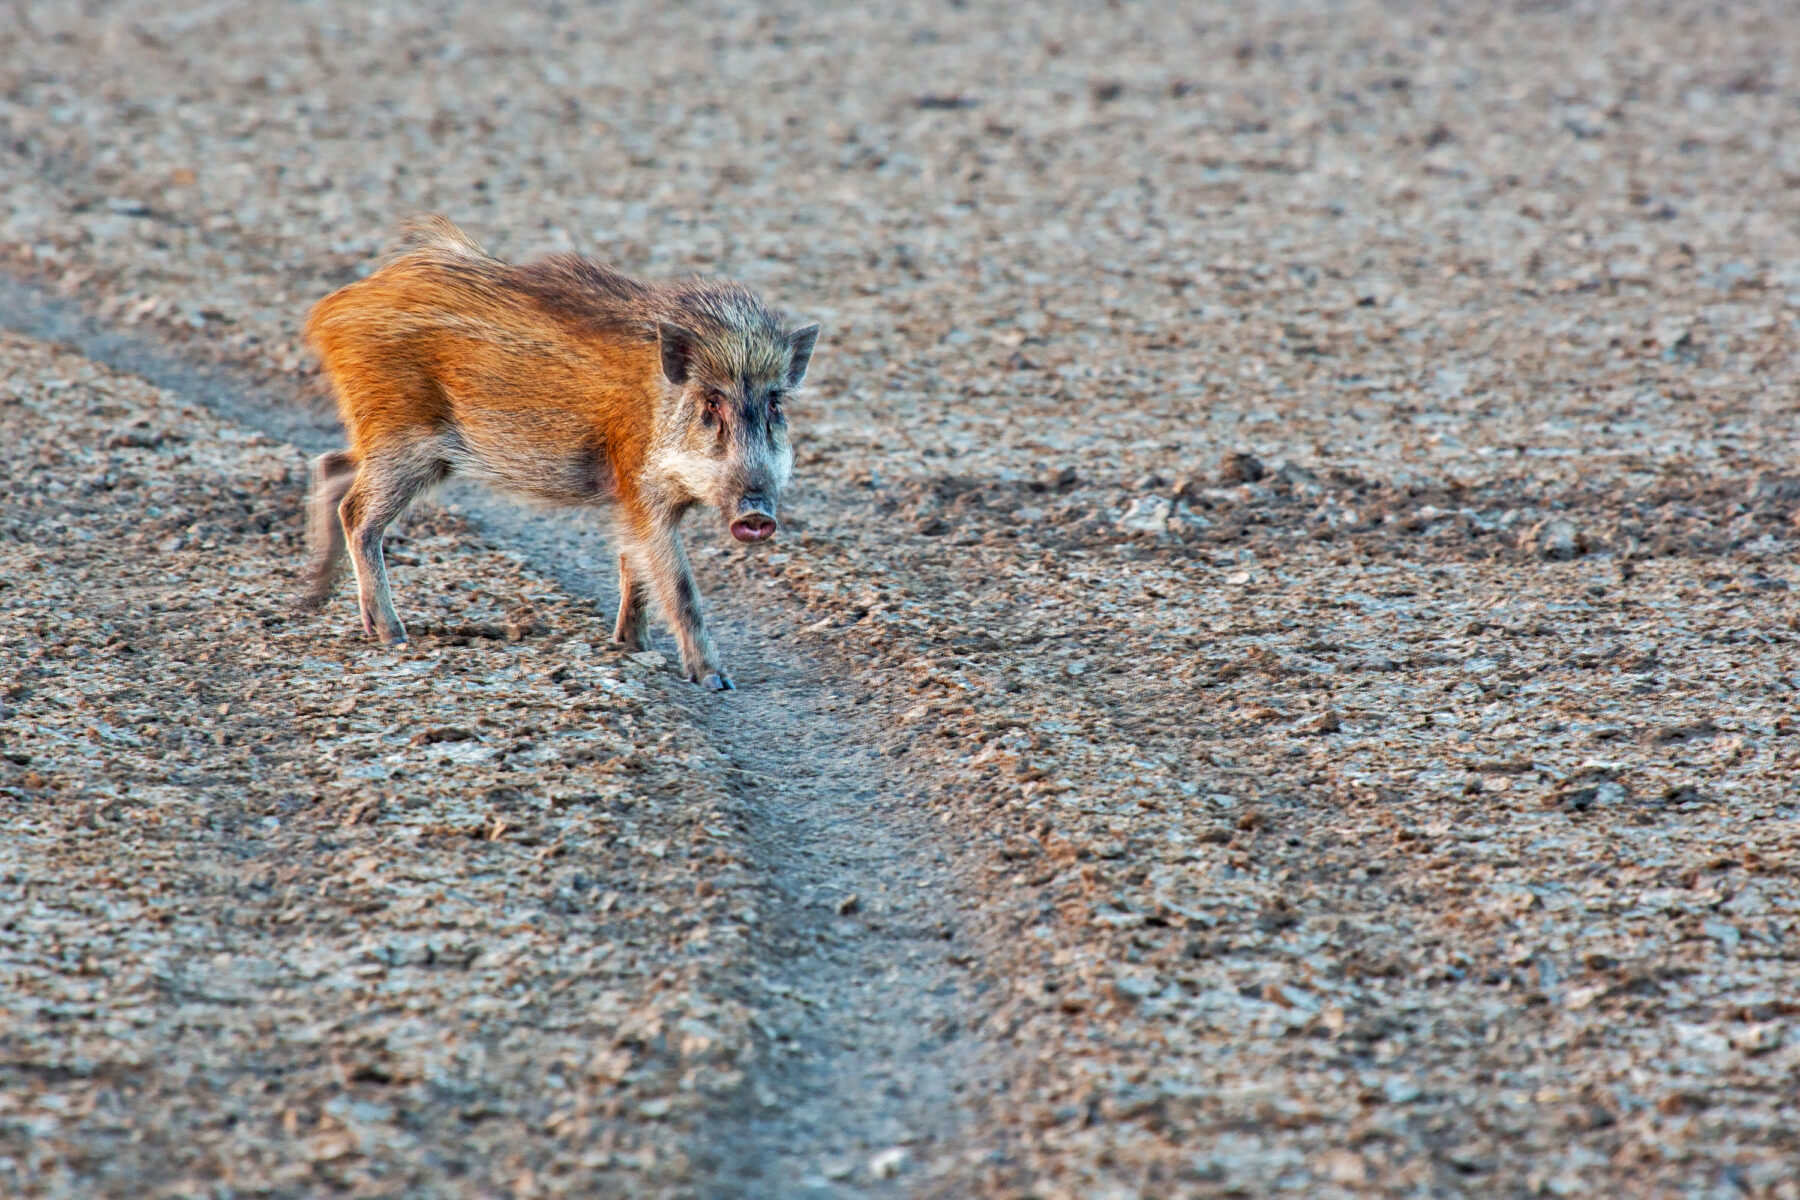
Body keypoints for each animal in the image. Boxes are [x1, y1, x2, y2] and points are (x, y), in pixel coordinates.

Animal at [298, 215, 818, 691]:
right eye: (712, 401)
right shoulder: (641, 490)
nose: (757, 515)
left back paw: (314, 598)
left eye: (774, 403)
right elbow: (678, 585)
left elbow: (635, 567)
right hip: (403, 441)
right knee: (357, 512)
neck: (656, 404)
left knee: (331, 466)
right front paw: (715, 681)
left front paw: (632, 646)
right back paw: (391, 634)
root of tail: (330, 309)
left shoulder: (631, 501)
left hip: (398, 445)